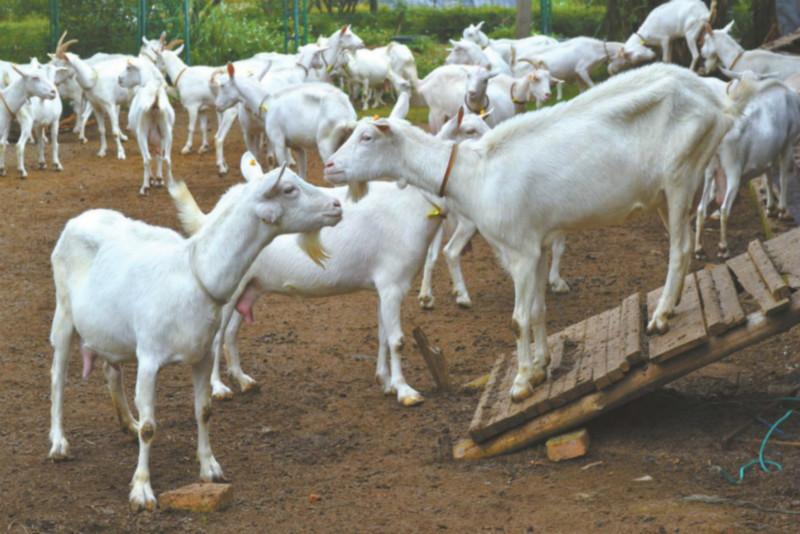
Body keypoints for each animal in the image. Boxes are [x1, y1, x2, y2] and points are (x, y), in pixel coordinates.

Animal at [47, 153, 340, 512]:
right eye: (289, 189)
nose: (337, 205)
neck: (193, 272)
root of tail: (80, 218)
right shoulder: (149, 358)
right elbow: (150, 427)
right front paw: (142, 489)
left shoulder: (202, 355)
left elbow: (204, 411)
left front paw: (210, 467)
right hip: (63, 314)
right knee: (58, 377)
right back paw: (59, 443)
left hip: (111, 330)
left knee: (110, 370)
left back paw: (126, 421)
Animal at [118, 59, 176, 197]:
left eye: (128, 68)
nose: (119, 79)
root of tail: (154, 103)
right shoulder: (160, 137)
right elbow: (159, 155)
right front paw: (159, 179)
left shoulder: (143, 135)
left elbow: (151, 156)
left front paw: (151, 179)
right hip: (167, 132)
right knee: (167, 158)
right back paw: (172, 186)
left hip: (142, 133)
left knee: (147, 158)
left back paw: (144, 187)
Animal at [324, 63, 756, 402]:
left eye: (367, 137)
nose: (328, 166)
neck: (475, 174)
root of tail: (718, 103)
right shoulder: (540, 242)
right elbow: (538, 309)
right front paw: (541, 366)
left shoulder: (520, 250)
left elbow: (518, 319)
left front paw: (520, 384)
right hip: (664, 194)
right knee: (678, 247)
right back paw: (675, 304)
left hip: (682, 175)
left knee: (680, 248)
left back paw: (662, 317)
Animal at [692, 75, 800, 260]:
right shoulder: (787, 144)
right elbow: (783, 177)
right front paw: (781, 210)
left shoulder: (768, 153)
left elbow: (768, 175)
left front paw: (770, 208)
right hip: (733, 172)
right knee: (724, 210)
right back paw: (723, 248)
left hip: (710, 171)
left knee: (701, 209)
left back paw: (699, 250)